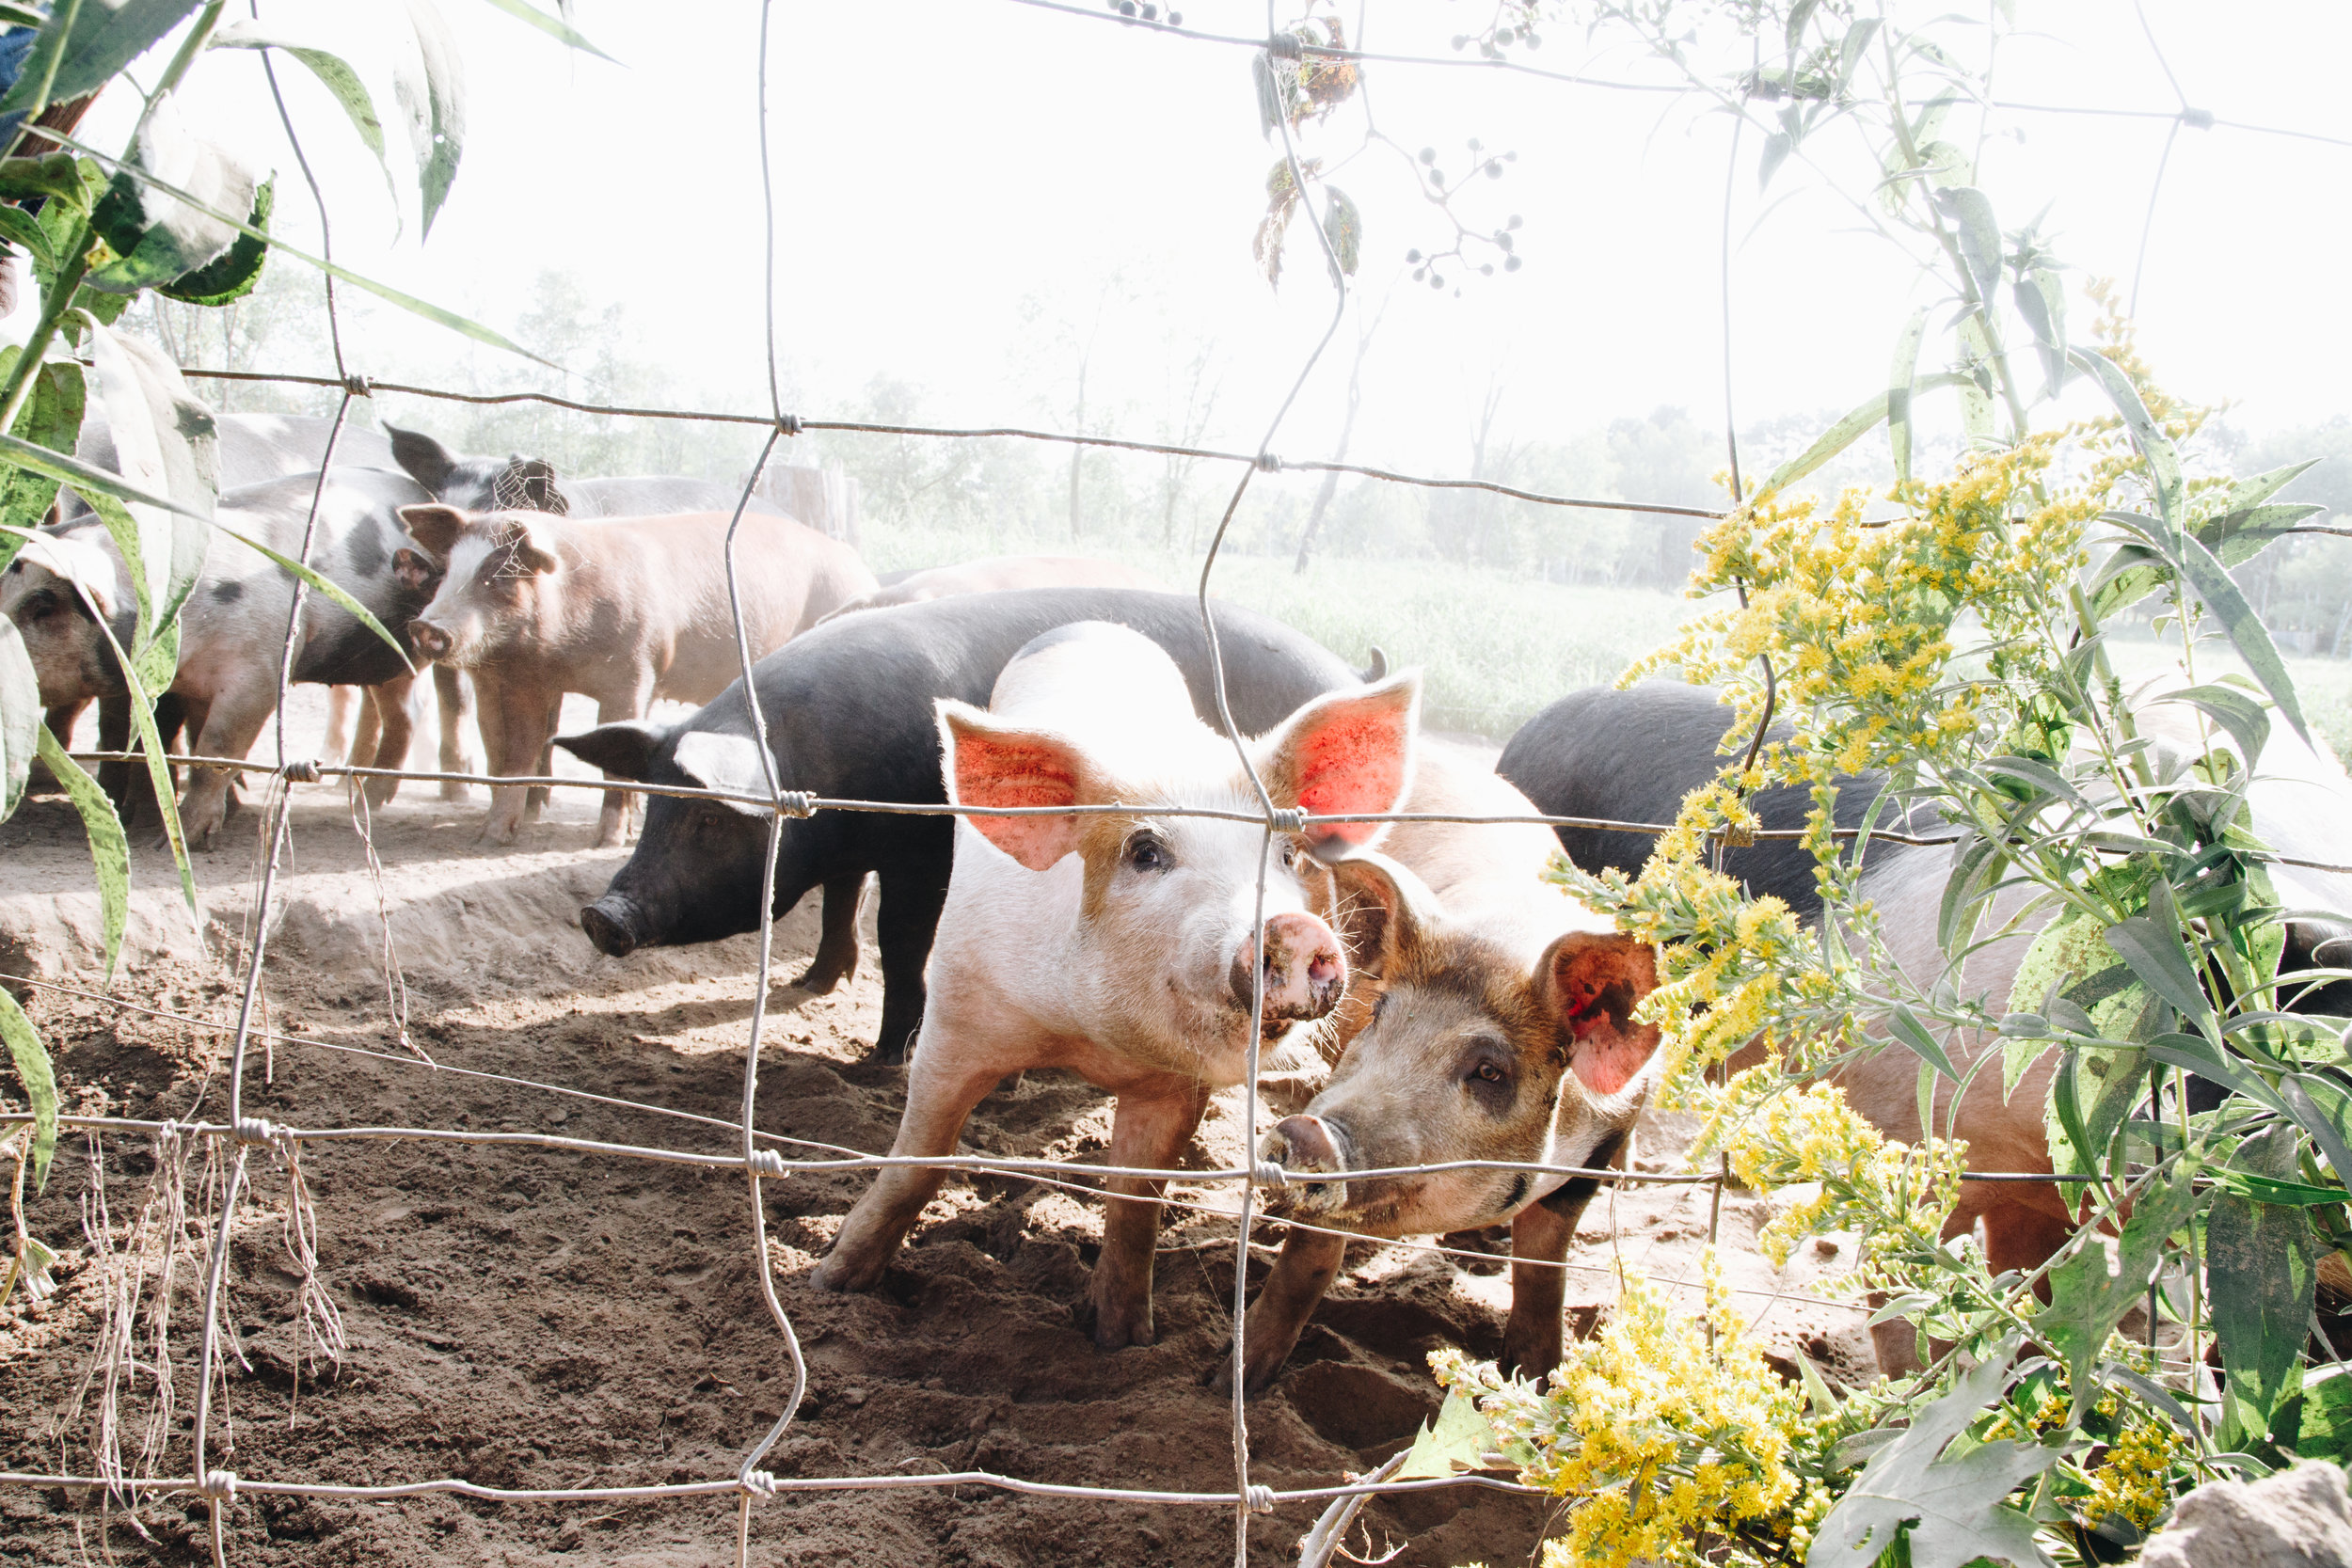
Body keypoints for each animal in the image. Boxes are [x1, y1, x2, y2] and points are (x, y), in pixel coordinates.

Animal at [400, 502, 880, 846]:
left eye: (501, 573)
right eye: (448, 570)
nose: (426, 626)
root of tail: (856, 563)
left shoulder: (634, 669)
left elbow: (611, 767)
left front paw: (607, 841)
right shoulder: (523, 682)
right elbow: (519, 754)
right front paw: (491, 837)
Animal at [557, 587, 1374, 1067]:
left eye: (704, 816)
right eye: (654, 805)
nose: (601, 914)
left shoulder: (921, 848)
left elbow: (900, 940)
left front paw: (881, 1059)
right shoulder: (853, 845)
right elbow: (838, 904)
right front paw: (809, 983)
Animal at [809, 620, 1411, 1354]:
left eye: (1288, 855)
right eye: (1144, 852)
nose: (1292, 927)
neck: (1082, 1037)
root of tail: (1094, 625)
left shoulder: (1177, 1086)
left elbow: (1137, 1199)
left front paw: (1122, 1338)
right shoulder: (955, 1019)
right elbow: (918, 1163)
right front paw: (833, 1280)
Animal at [1223, 752, 1665, 1391]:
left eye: (1489, 1071)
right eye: (1379, 1016)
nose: (1308, 1132)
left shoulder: (1599, 1148)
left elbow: (1544, 1268)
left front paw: (1536, 1379)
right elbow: (1309, 1257)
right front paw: (1233, 1380)